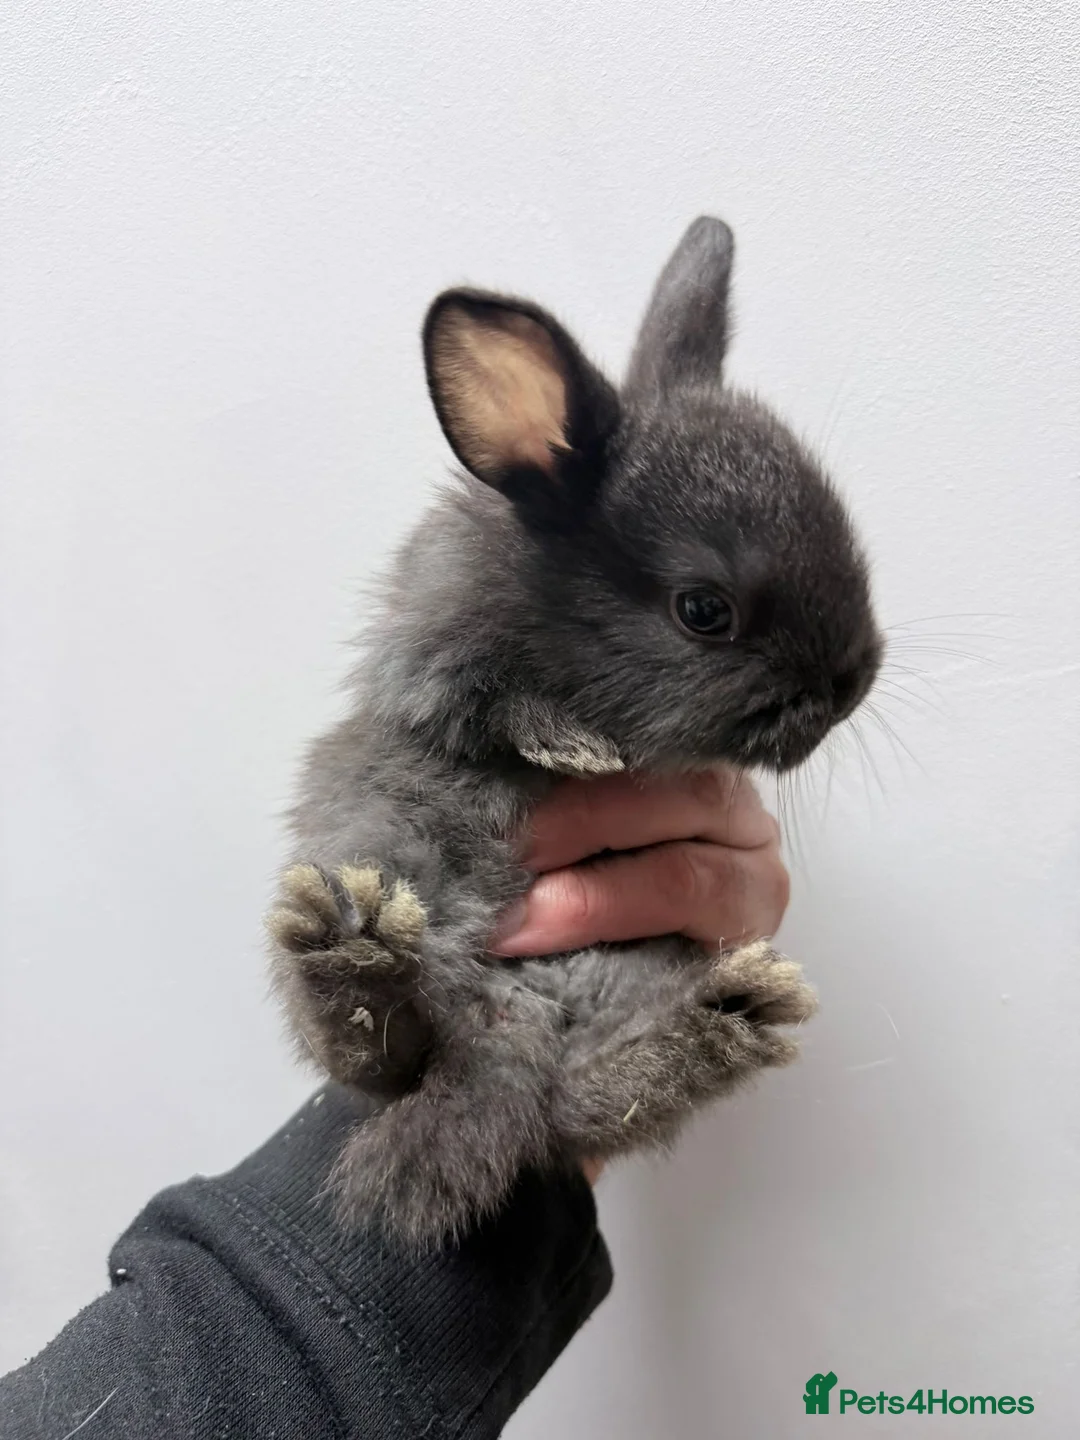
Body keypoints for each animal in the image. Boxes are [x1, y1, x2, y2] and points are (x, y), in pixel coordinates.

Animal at [268, 217, 882, 1251]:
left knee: (577, 1107)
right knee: (383, 1057)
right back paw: (350, 945)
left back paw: (725, 1017)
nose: (851, 684)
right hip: (386, 861)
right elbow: (486, 708)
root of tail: (498, 1047)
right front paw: (571, 743)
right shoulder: (428, 664)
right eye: (704, 611)